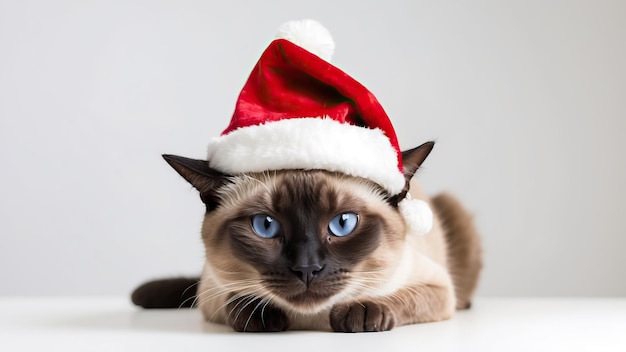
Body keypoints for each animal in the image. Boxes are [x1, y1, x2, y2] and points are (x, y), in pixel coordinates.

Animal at [133, 140, 482, 332]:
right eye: (265, 226)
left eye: (343, 224)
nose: (306, 268)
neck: (312, 322)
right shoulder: (210, 290)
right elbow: (238, 299)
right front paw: (261, 316)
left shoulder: (439, 289)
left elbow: (404, 298)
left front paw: (359, 313)